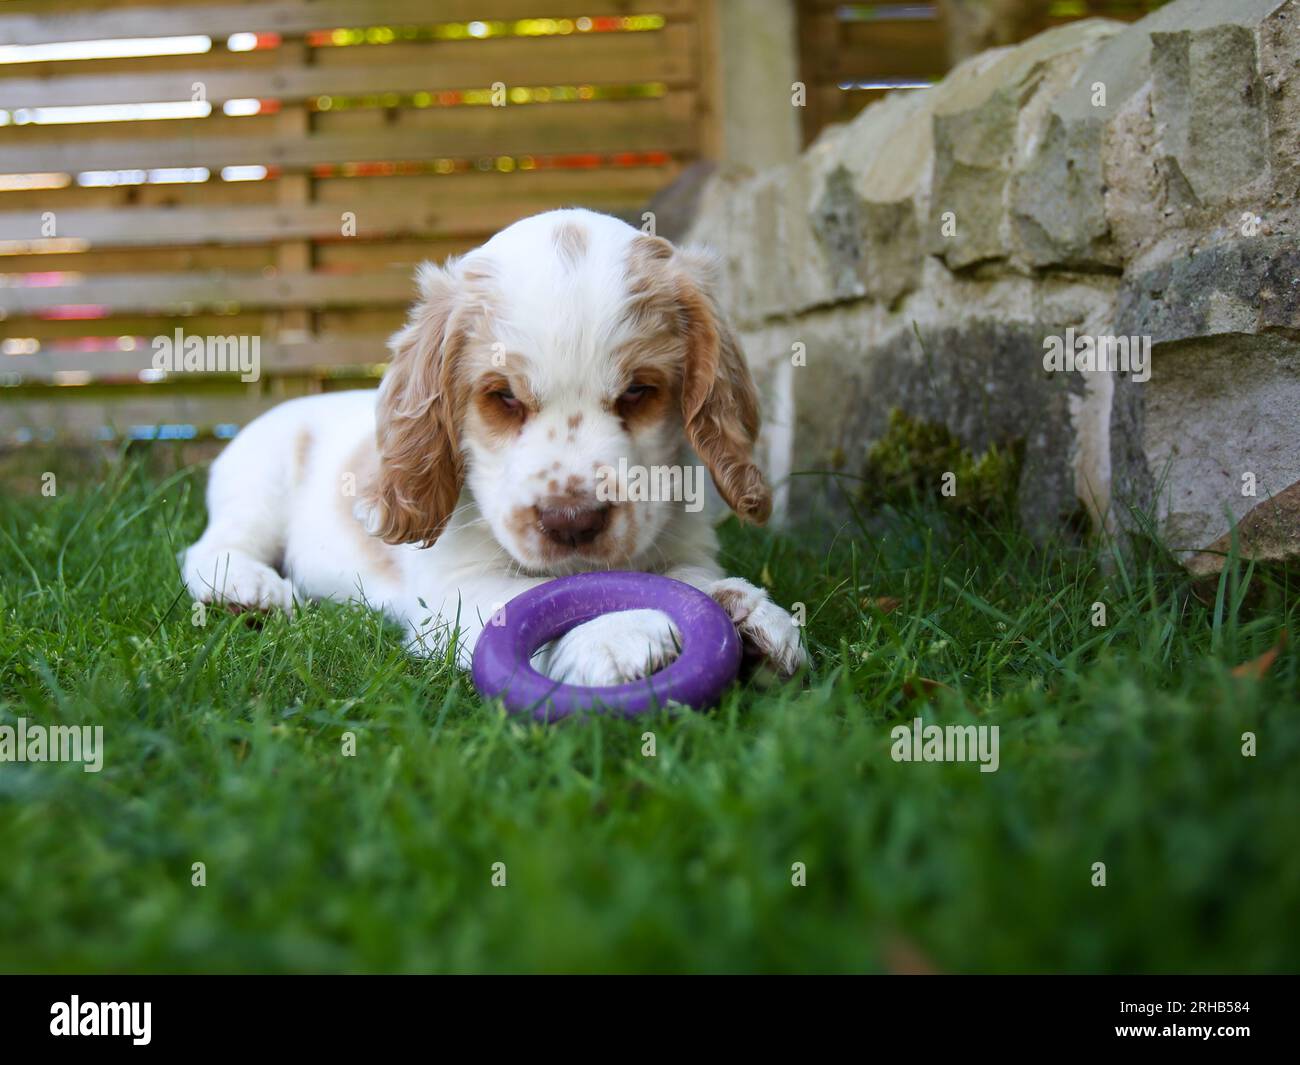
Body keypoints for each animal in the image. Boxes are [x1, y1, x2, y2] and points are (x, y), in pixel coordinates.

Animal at [183, 208, 806, 686]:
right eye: (503, 397)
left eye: (638, 391)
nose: (573, 522)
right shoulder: (453, 590)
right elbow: (535, 598)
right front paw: (620, 630)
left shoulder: (685, 544)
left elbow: (687, 576)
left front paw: (750, 612)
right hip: (257, 483)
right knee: (209, 547)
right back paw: (249, 590)